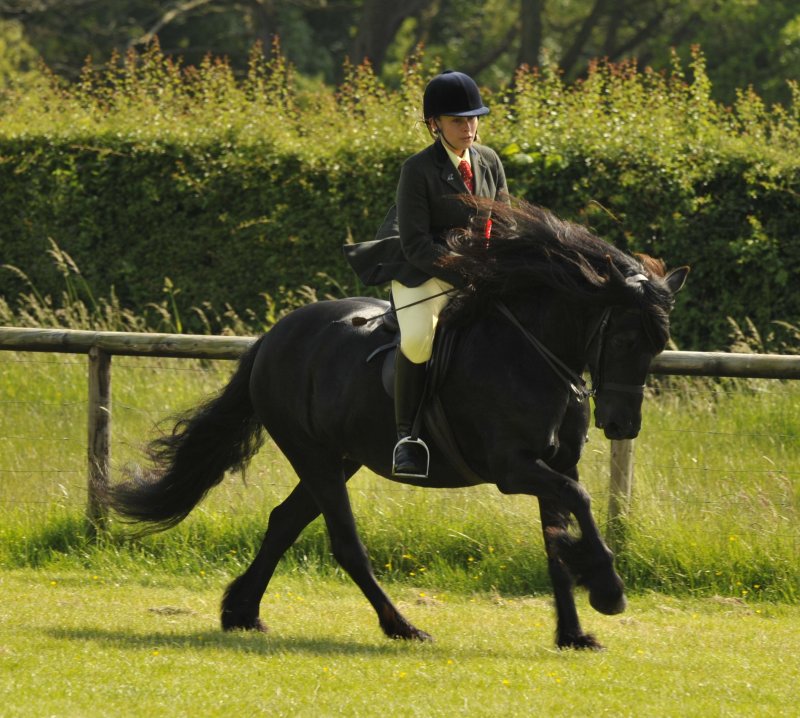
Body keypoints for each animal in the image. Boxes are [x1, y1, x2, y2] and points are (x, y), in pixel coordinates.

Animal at [105, 199, 688, 650]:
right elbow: (581, 503)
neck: (532, 353)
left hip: (340, 458)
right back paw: (402, 627)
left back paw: (242, 613)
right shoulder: (513, 468)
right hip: (314, 456)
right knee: (344, 543)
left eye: (658, 345)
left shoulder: (557, 464)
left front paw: (573, 632)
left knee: (284, 521)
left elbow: (557, 539)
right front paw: (608, 589)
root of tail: (273, 336)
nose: (622, 425)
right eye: (625, 338)